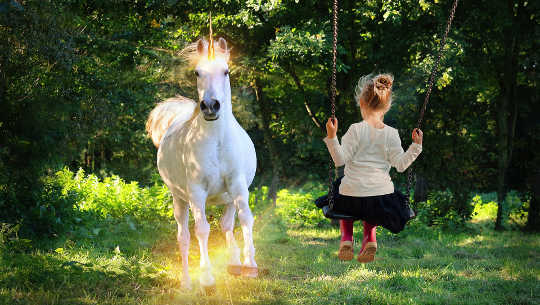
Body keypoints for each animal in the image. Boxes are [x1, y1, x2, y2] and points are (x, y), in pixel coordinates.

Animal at [147, 38, 258, 290]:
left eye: (226, 71)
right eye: (197, 72)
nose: (210, 106)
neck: (217, 141)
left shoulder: (238, 185)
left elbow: (245, 218)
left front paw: (250, 265)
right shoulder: (197, 192)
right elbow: (202, 230)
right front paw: (206, 277)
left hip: (227, 197)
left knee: (227, 223)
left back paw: (234, 262)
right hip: (180, 200)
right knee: (184, 237)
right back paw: (187, 282)